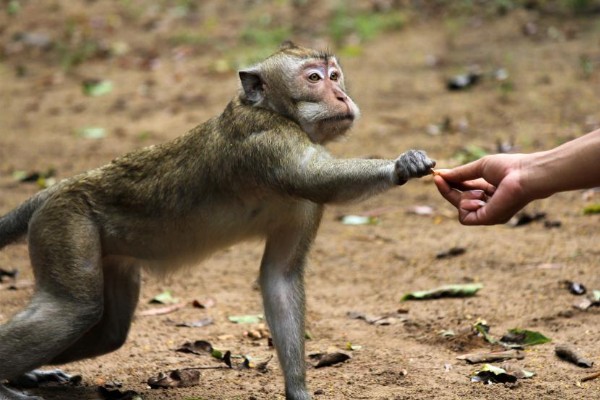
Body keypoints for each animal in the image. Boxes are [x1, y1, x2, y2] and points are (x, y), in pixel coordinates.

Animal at [0, 41, 434, 400]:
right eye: (313, 78)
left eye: (335, 75)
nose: (342, 95)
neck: (274, 111)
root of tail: (58, 188)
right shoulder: (265, 140)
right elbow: (315, 178)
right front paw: (402, 165)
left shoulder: (306, 205)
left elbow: (280, 277)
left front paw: (298, 391)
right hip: (67, 223)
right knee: (72, 310)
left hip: (107, 252)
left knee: (109, 332)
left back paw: (23, 375)